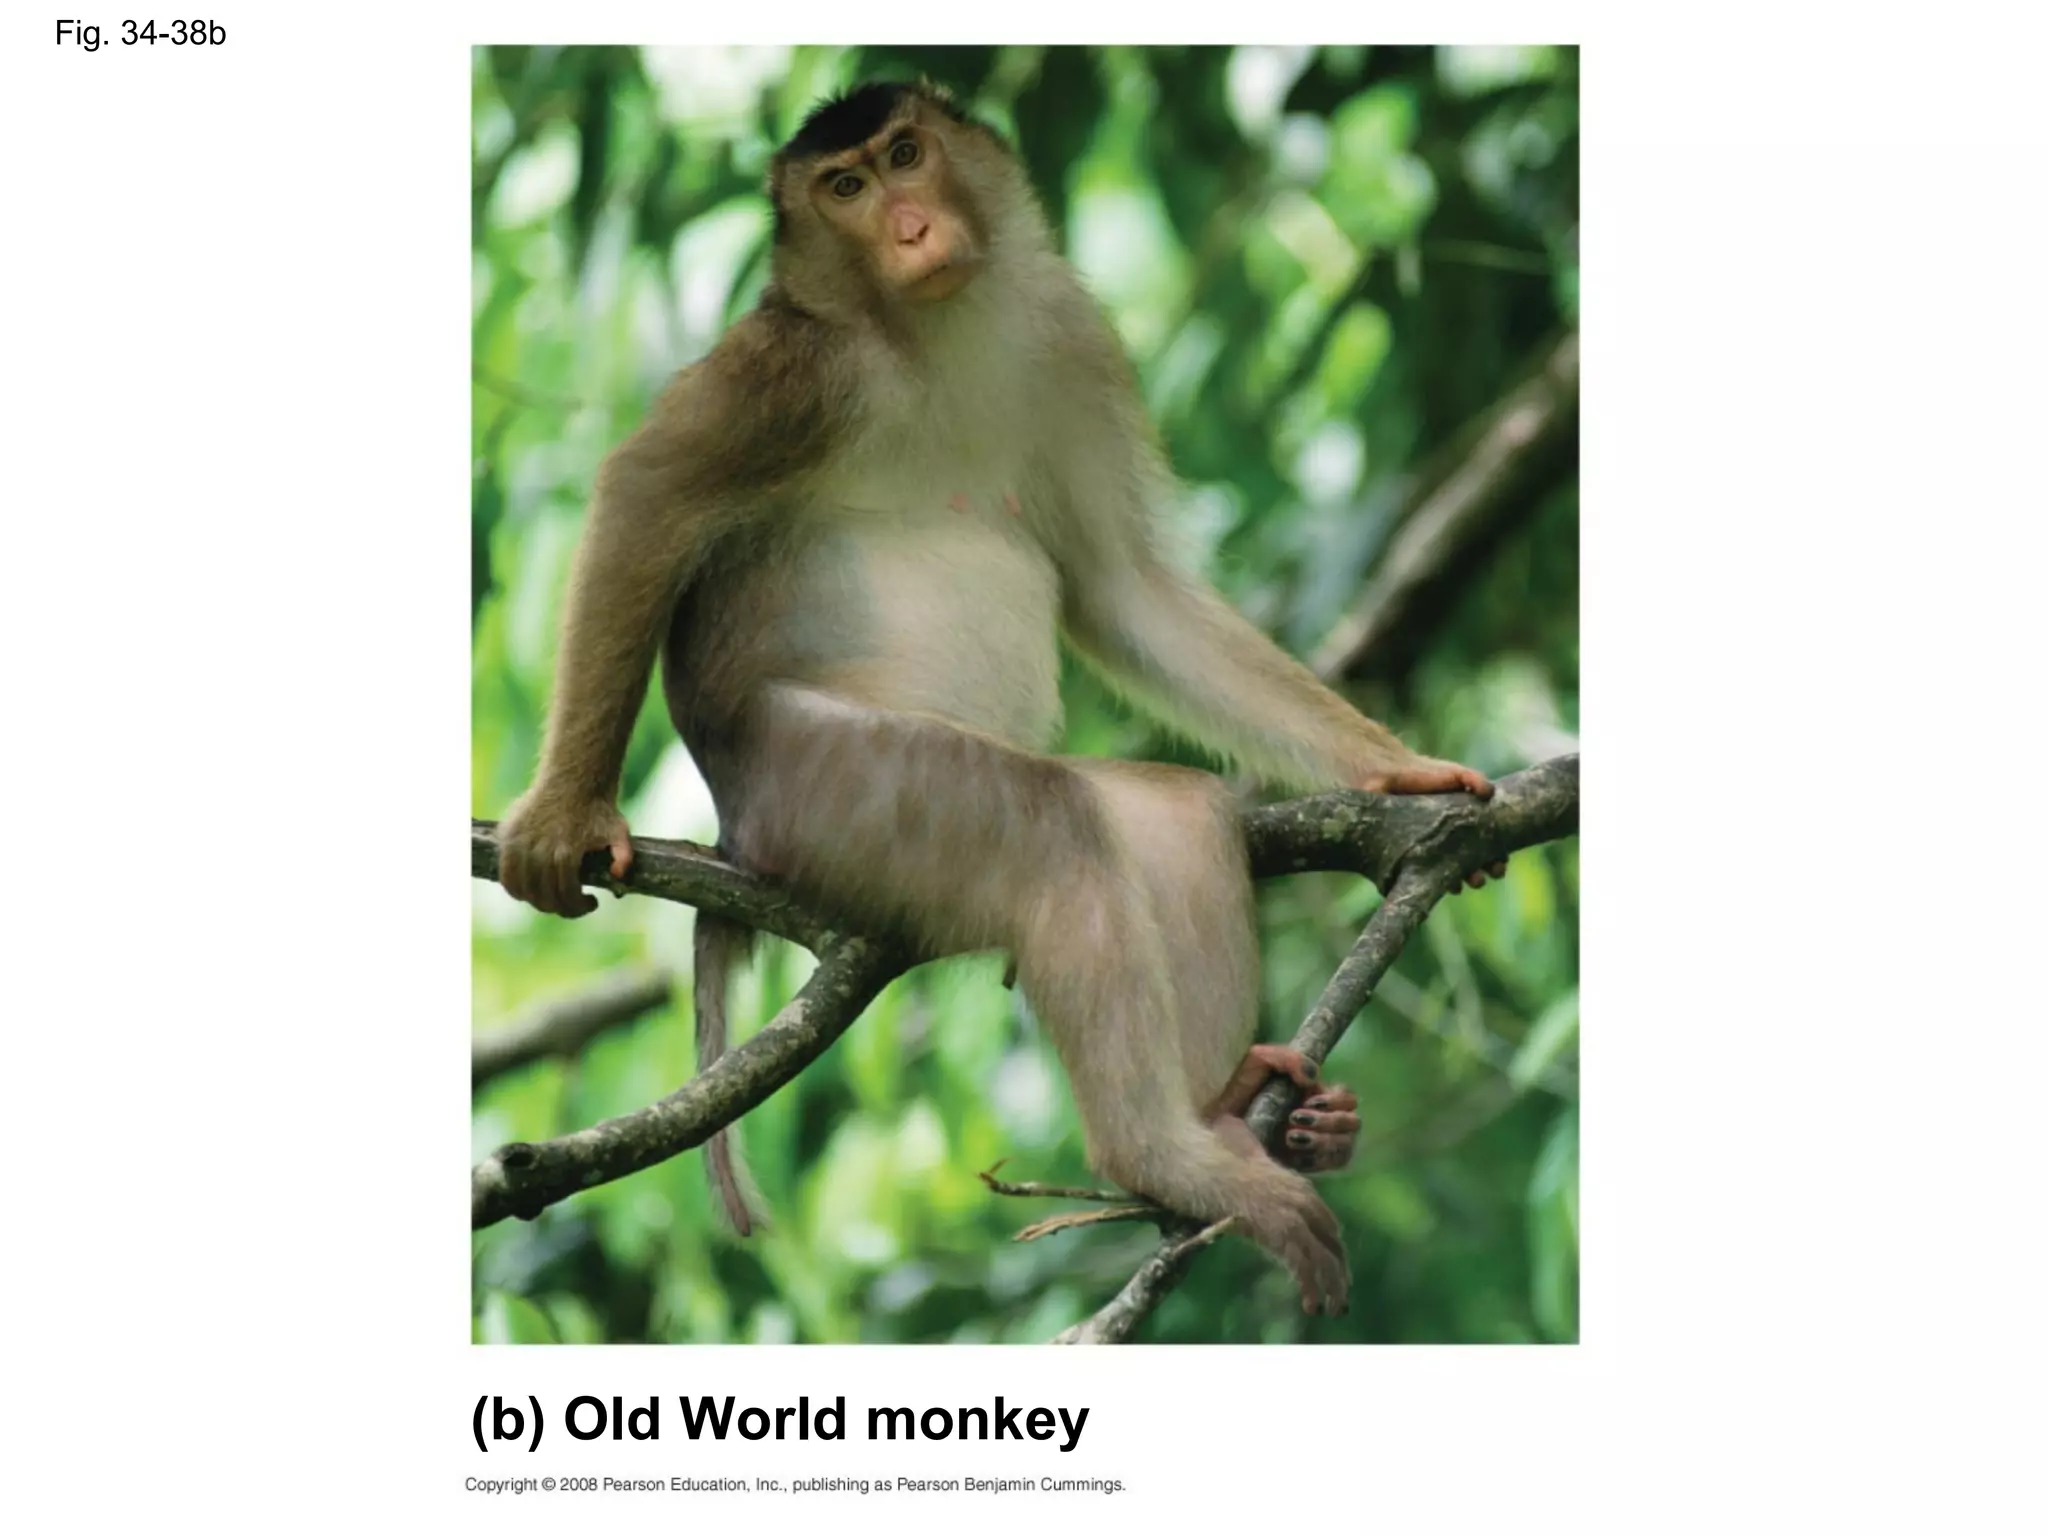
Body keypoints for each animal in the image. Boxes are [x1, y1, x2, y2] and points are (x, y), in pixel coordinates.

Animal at [494, 80, 1505, 1315]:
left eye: (904, 155)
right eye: (845, 188)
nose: (910, 226)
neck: (933, 335)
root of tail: (732, 827)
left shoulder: (1064, 338)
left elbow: (1120, 587)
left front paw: (1394, 769)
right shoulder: (797, 370)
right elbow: (644, 491)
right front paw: (565, 819)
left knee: (1168, 815)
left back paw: (1222, 1117)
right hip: (823, 790)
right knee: (1047, 832)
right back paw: (1156, 1152)